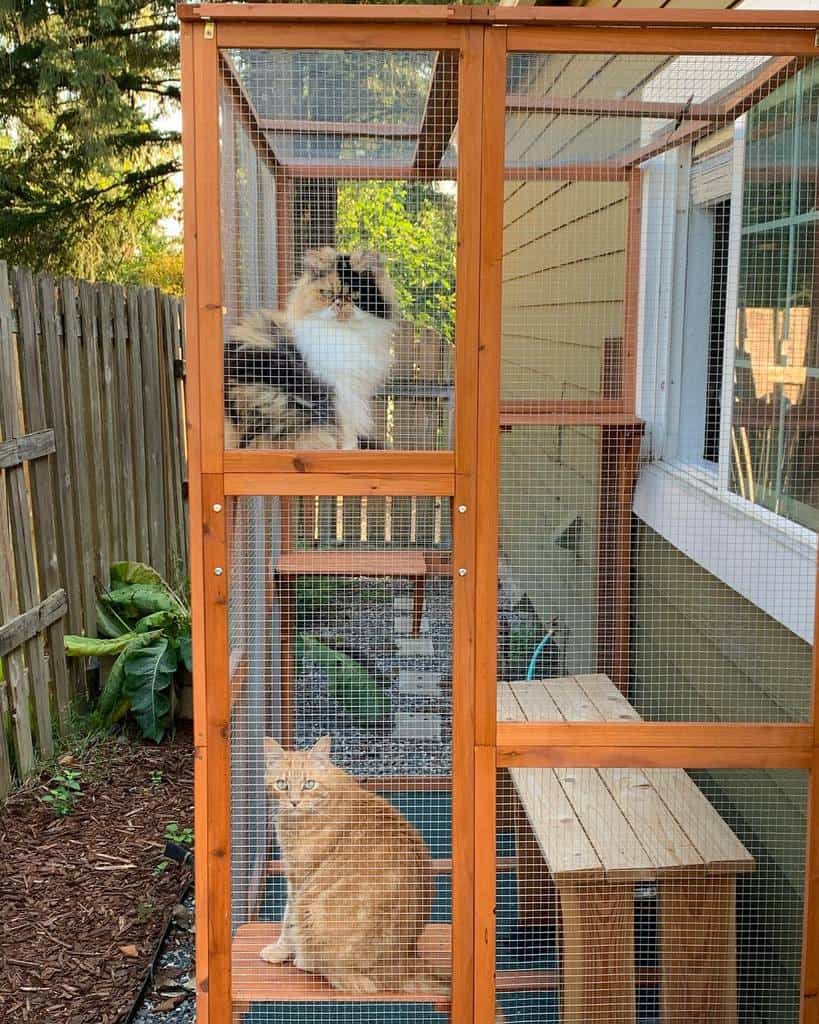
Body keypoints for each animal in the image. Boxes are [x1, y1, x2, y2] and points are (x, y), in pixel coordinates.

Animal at [225, 247, 395, 448]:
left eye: (354, 295)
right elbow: (346, 428)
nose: (339, 303)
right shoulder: (339, 390)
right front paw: (348, 448)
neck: (343, 336)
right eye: (328, 293)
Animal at [262, 733, 444, 995]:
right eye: (282, 784)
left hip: (310, 905)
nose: (294, 802)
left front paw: (281, 950)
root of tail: (403, 963)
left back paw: (305, 961)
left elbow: (288, 921)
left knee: (340, 975)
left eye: (309, 784)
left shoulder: (299, 878)